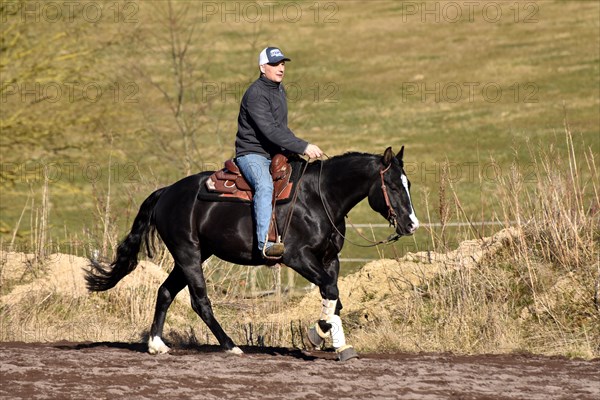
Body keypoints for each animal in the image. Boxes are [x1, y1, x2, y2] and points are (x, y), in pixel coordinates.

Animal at [86, 146, 420, 360]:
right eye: (392, 185)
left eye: (409, 184)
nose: (412, 224)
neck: (318, 197)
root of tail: (167, 192)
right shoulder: (297, 257)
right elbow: (330, 291)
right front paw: (318, 337)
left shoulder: (330, 260)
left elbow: (334, 298)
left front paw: (336, 343)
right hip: (188, 253)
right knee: (199, 301)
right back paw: (230, 346)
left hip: (194, 255)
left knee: (165, 291)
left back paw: (157, 345)